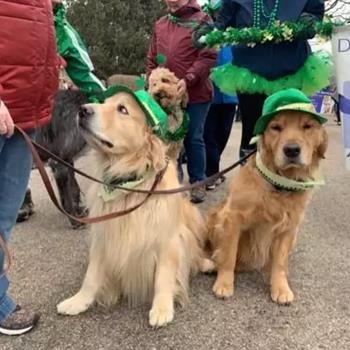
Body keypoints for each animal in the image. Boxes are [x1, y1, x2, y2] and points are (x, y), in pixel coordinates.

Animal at [56, 89, 209, 326]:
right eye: (103, 102)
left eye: (122, 109)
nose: (83, 110)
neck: (128, 182)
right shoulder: (104, 235)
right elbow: (91, 276)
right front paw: (78, 301)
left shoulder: (168, 239)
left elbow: (164, 276)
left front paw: (162, 308)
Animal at [206, 111, 326, 304]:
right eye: (276, 127)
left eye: (307, 126)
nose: (291, 150)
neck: (278, 184)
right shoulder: (232, 217)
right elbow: (229, 254)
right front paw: (224, 283)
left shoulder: (289, 227)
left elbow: (280, 262)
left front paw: (281, 288)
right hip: (216, 217)